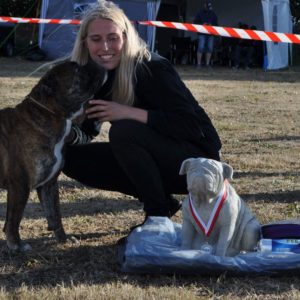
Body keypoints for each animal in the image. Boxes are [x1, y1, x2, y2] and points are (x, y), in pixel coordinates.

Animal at [0, 60, 106, 251]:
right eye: (77, 69)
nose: (93, 61)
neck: (49, 114)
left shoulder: (48, 185)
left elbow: (55, 215)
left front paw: (63, 239)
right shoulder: (19, 186)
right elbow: (14, 219)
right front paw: (16, 245)